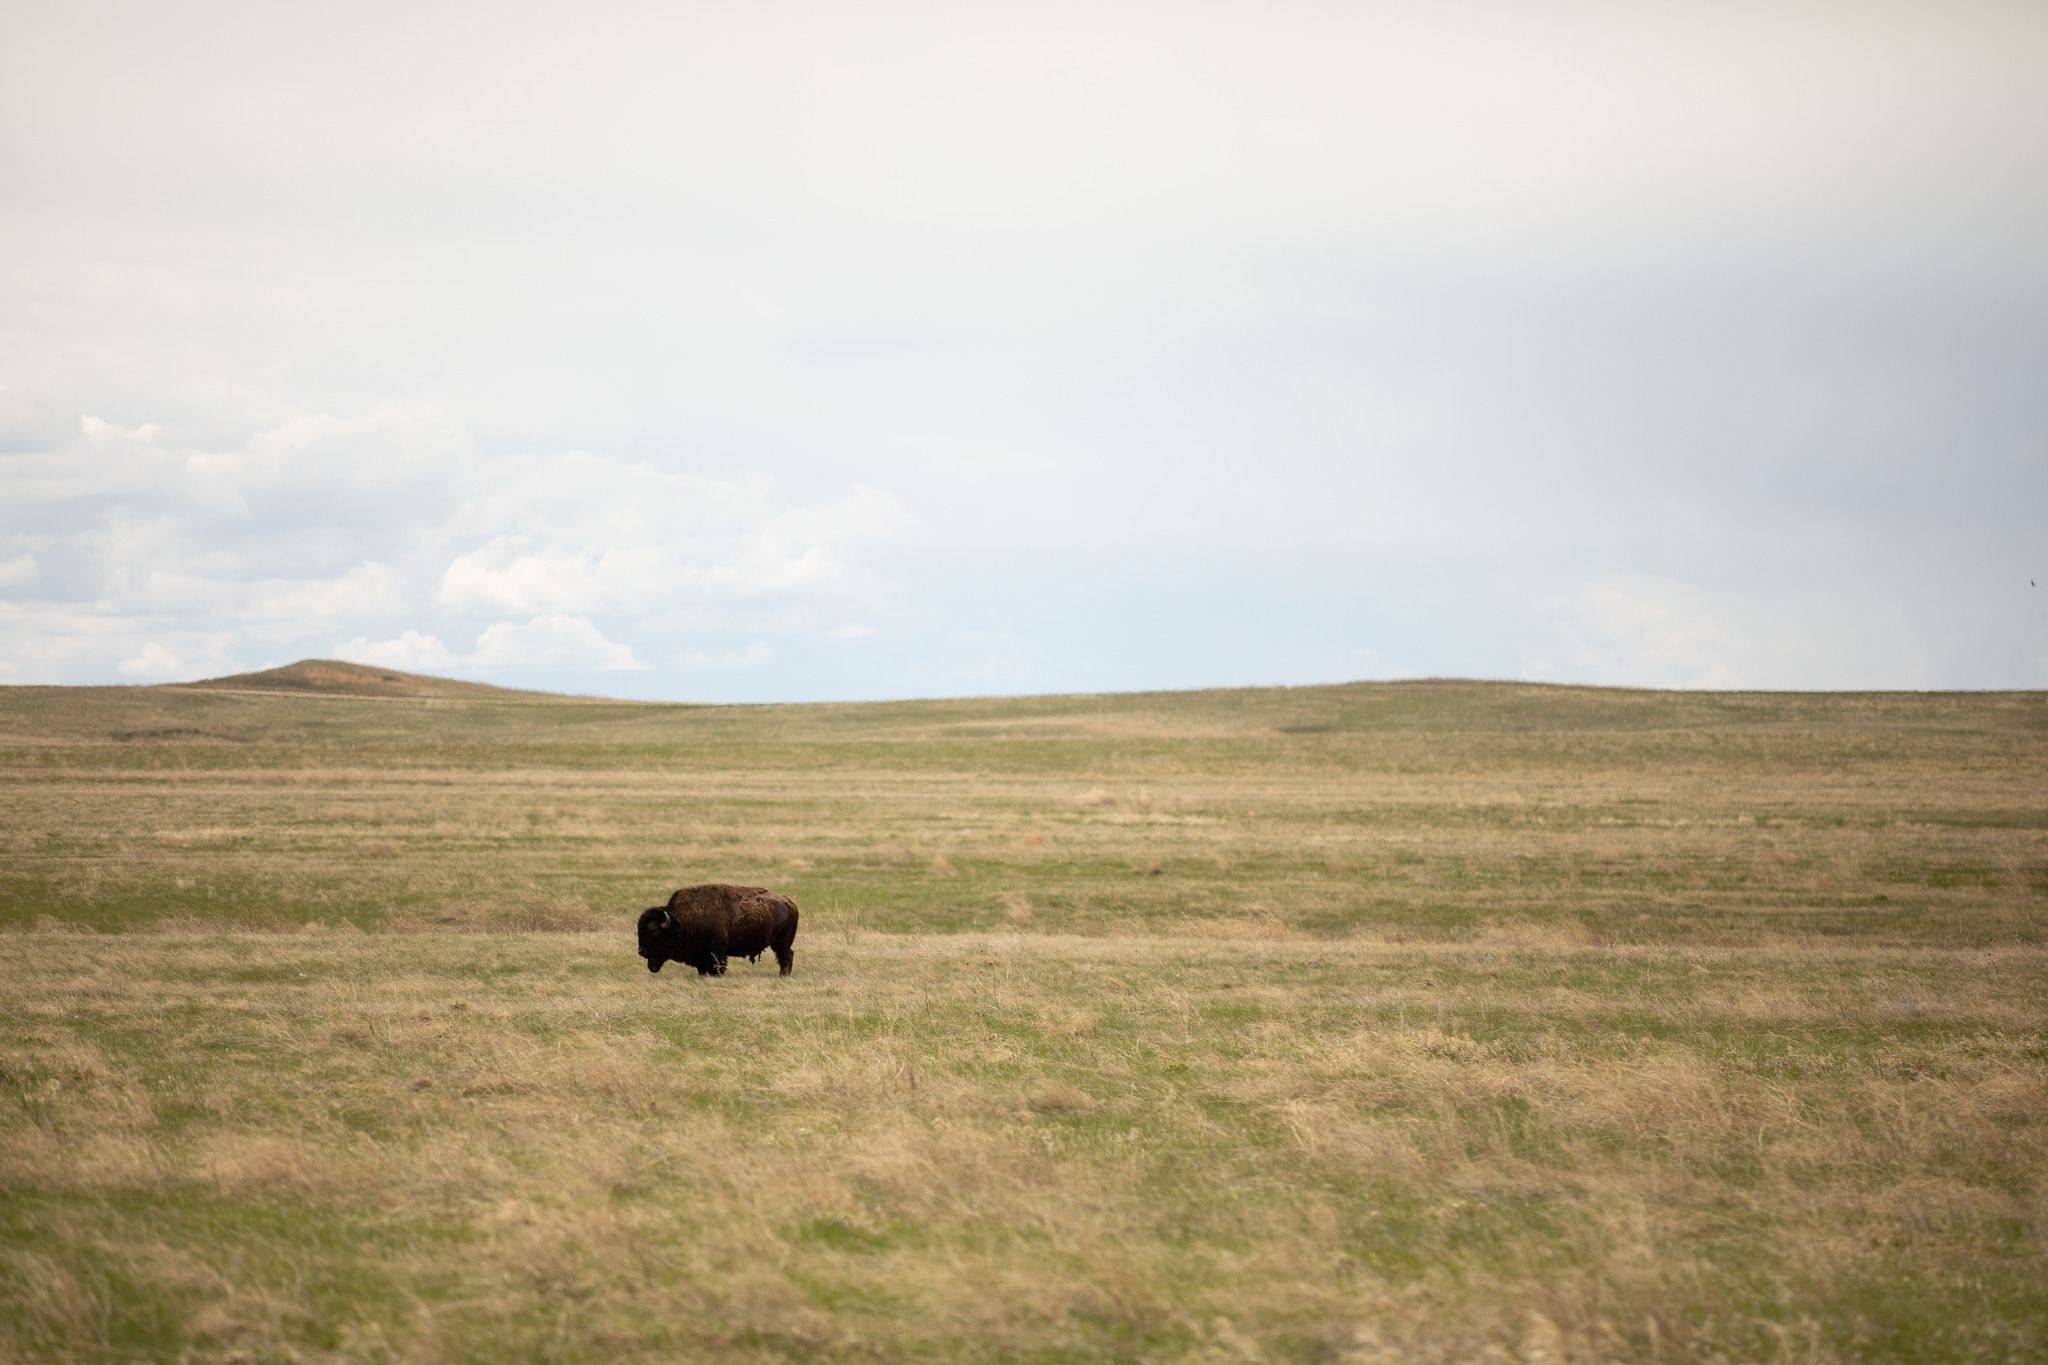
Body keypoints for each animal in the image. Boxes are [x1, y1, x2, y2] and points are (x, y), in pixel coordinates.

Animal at [636, 883, 799, 977]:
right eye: (639, 931)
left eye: (653, 931)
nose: (641, 951)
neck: (681, 920)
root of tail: (789, 901)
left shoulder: (715, 951)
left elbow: (717, 965)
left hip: (782, 942)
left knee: (786, 956)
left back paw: (783, 975)